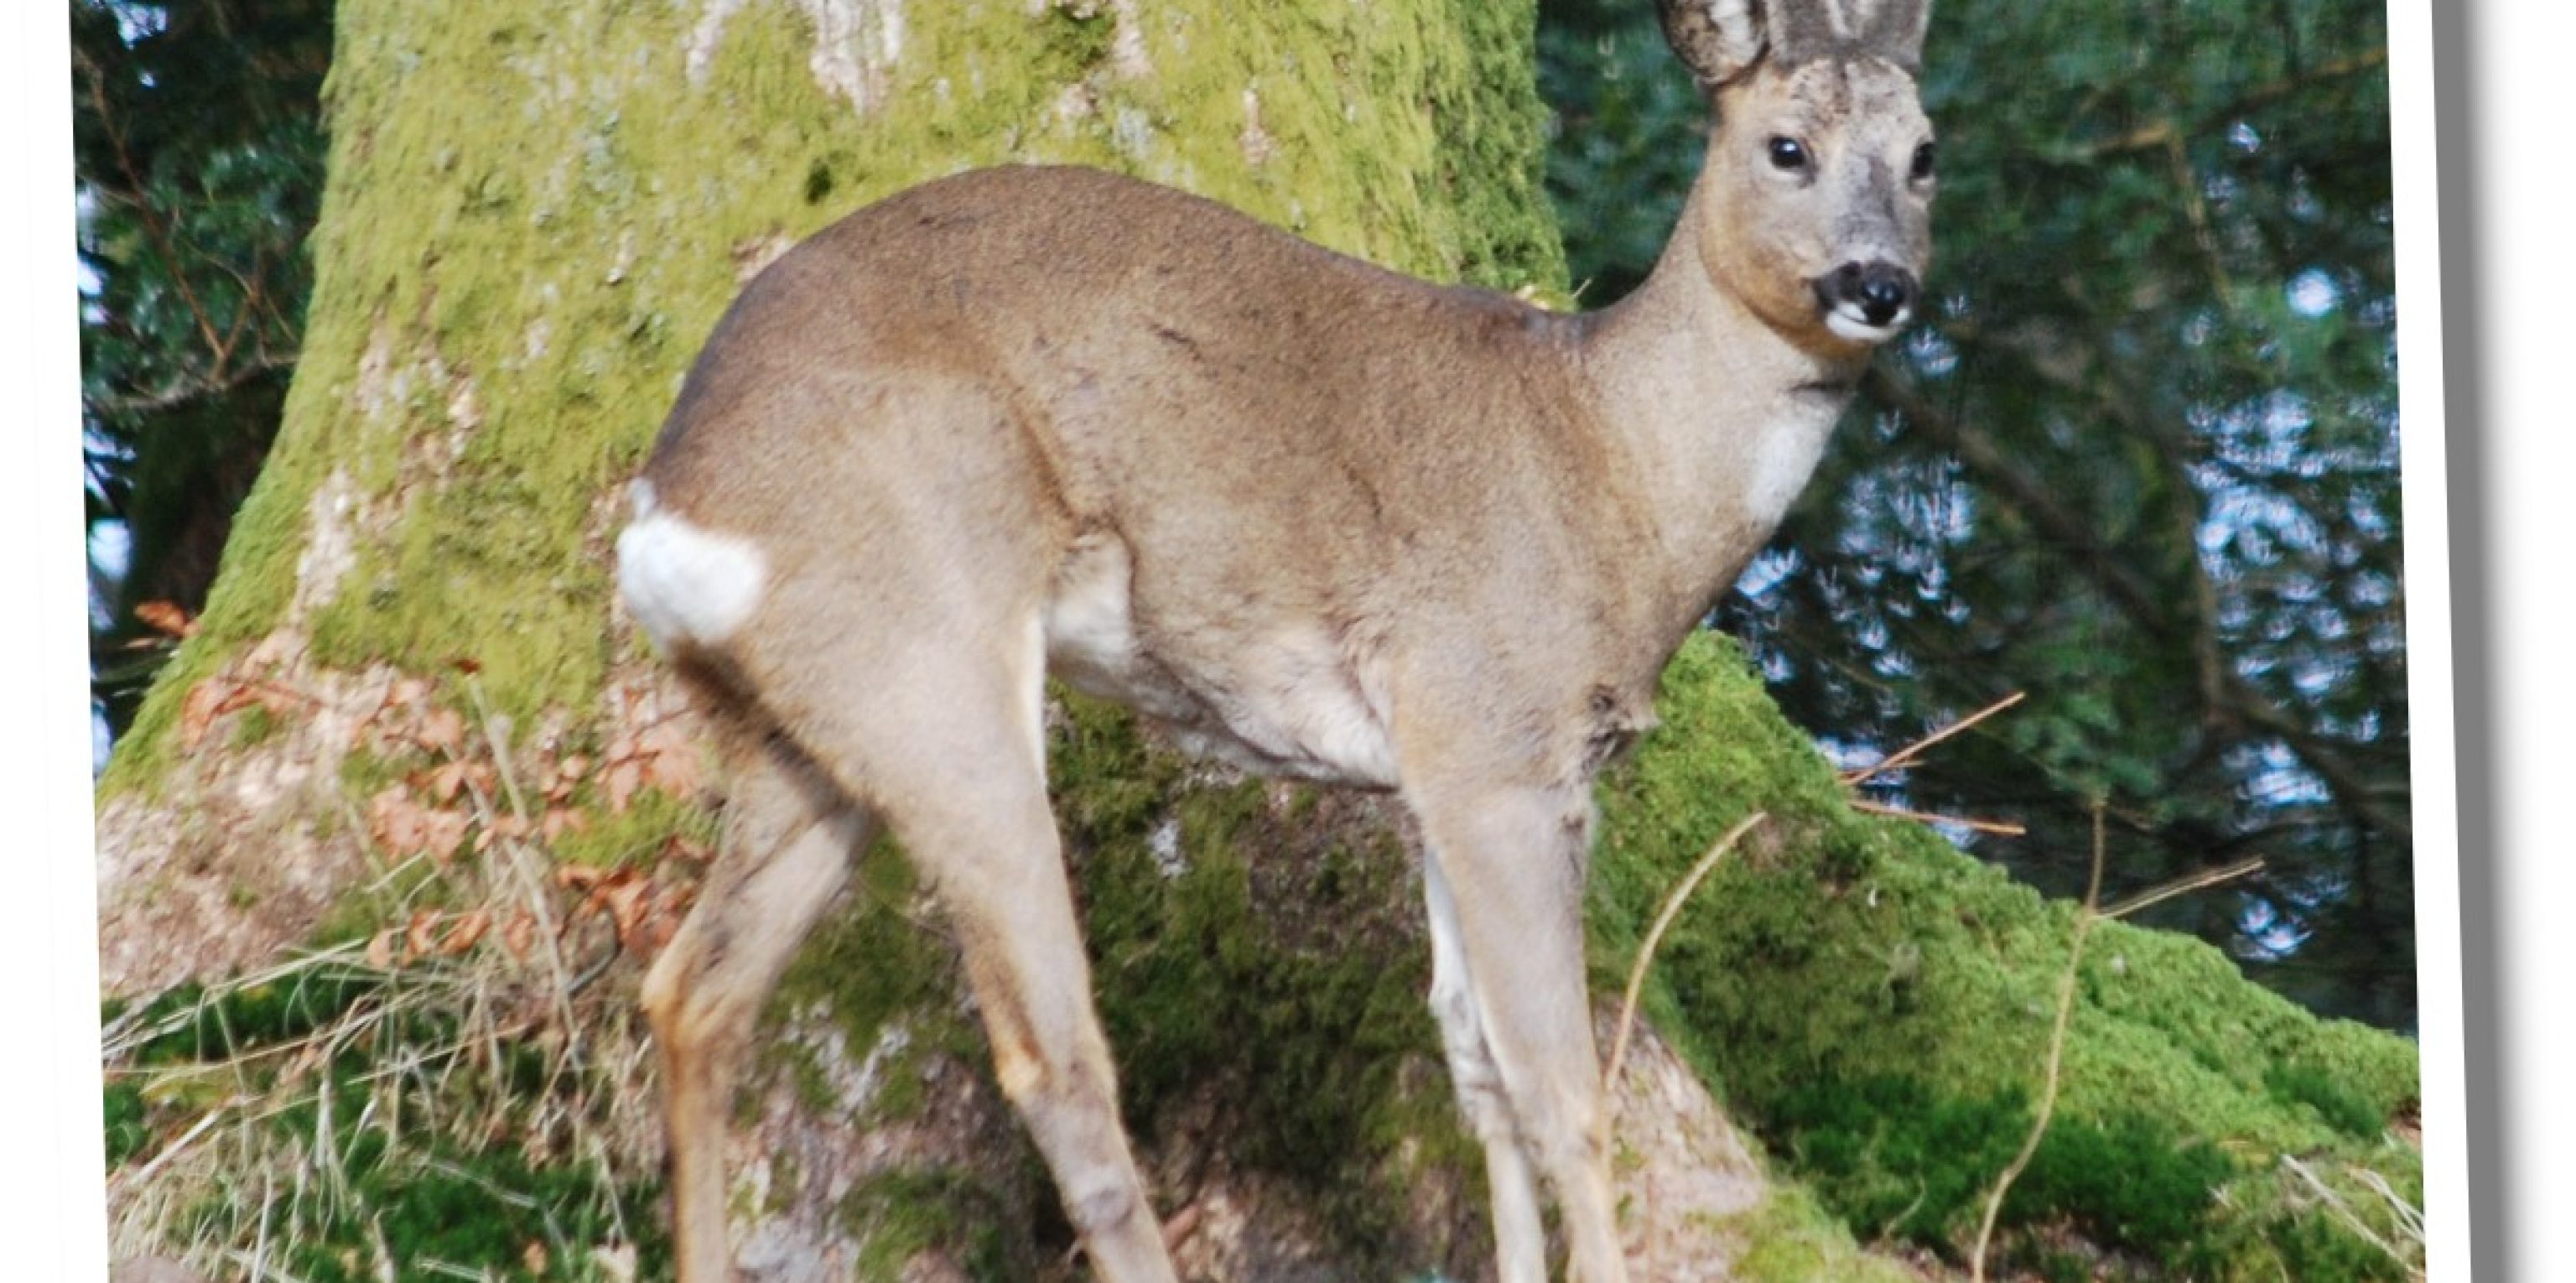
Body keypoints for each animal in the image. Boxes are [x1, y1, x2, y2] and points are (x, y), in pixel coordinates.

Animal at [615, 0, 1936, 1278]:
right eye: (1787, 148)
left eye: (1924, 154)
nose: (1879, 284)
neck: (1616, 469)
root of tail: (675, 509)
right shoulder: (1499, 742)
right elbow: (1561, 1090)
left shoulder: (1438, 772)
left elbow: (1476, 1067)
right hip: (927, 656)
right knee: (1056, 1063)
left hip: (808, 732)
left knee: (695, 992)